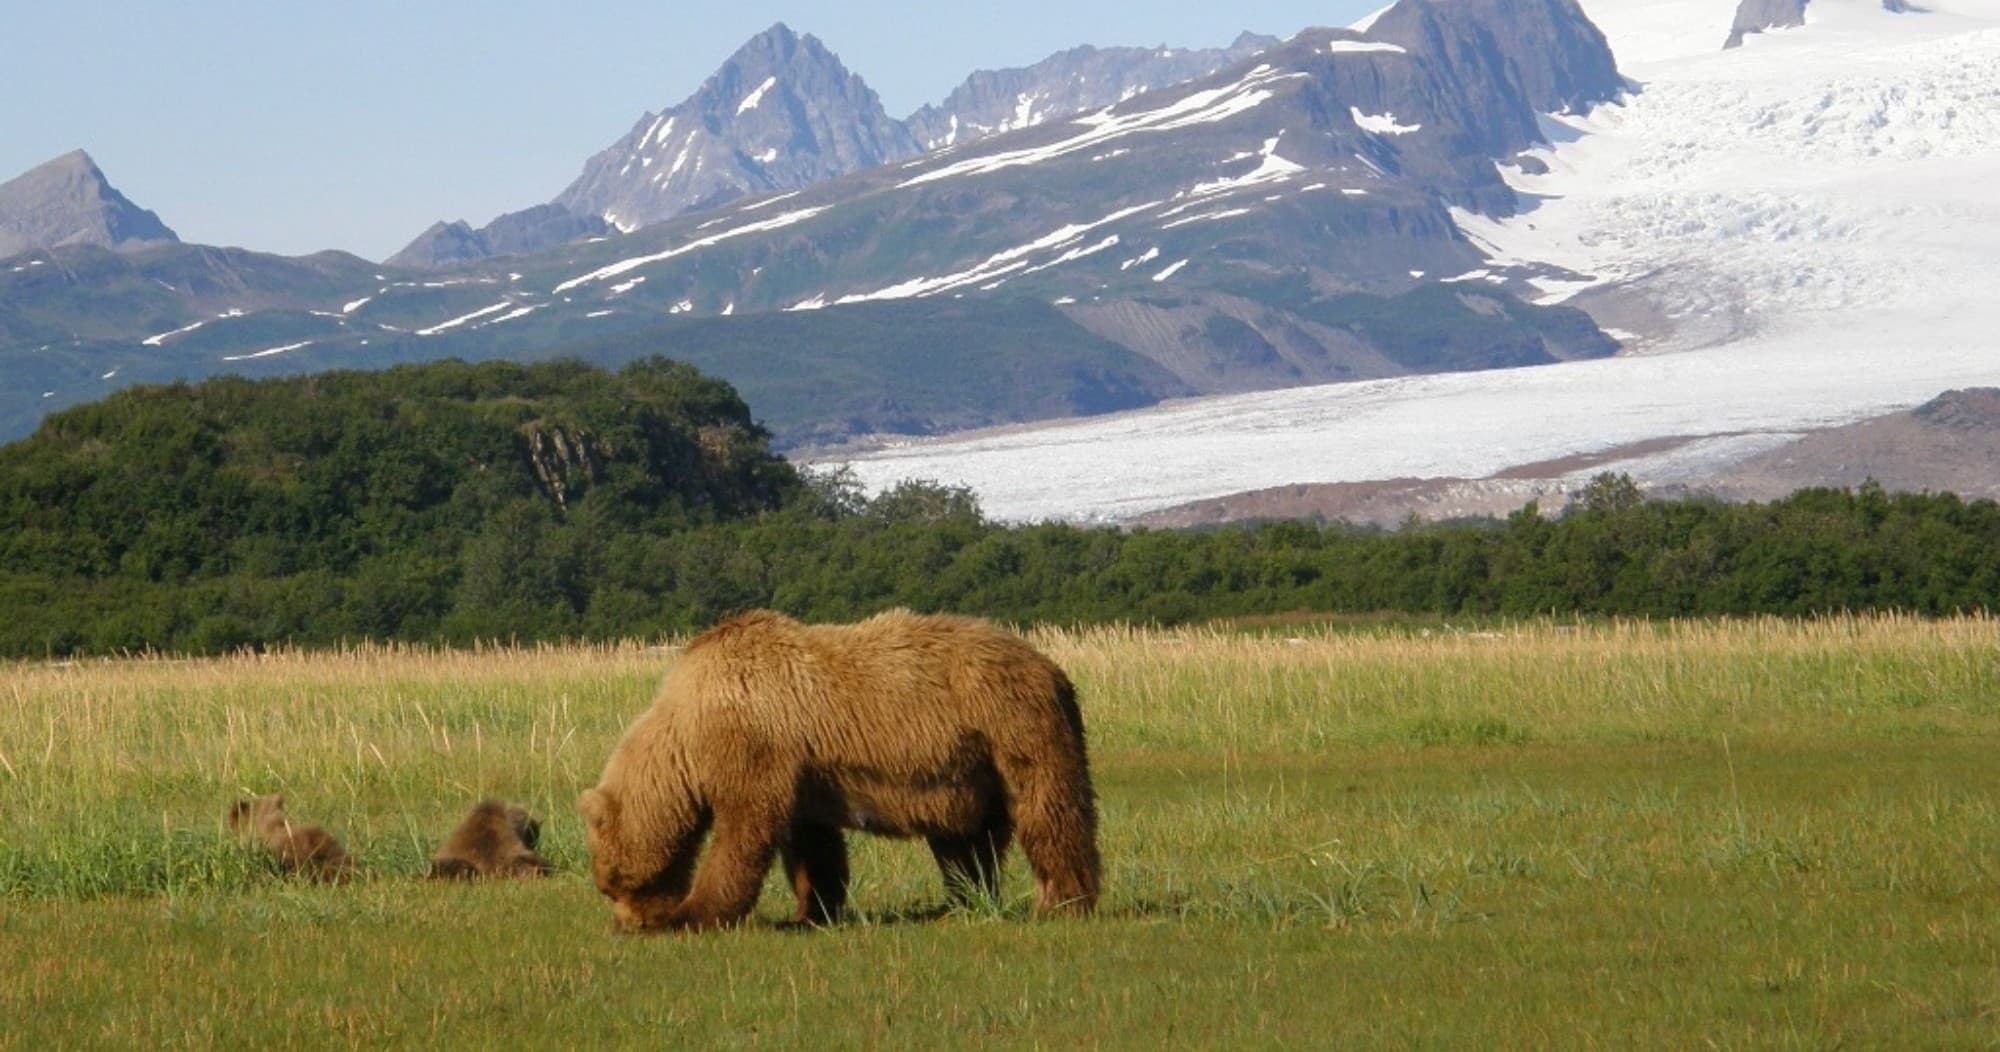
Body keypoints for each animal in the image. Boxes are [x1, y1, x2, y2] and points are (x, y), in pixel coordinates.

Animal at [579, 608, 1099, 932]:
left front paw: (696, 914)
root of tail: (1053, 669)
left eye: (611, 884)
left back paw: (1061, 903)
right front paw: (808, 912)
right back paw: (962, 901)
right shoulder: (804, 771)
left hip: (1011, 724)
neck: (687, 733)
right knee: (967, 842)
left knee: (1048, 810)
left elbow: (743, 832)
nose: (628, 923)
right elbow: (813, 847)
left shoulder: (753, 743)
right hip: (972, 771)